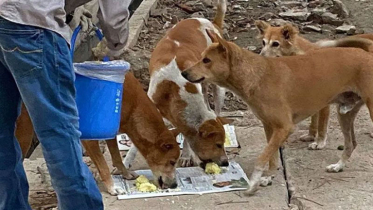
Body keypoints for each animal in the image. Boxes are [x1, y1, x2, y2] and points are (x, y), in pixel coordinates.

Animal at [254, 20, 370, 150]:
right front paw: (311, 135)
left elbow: (322, 124)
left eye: (275, 44)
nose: (260, 56)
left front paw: (320, 142)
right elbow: (314, 119)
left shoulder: (324, 101)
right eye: (263, 42)